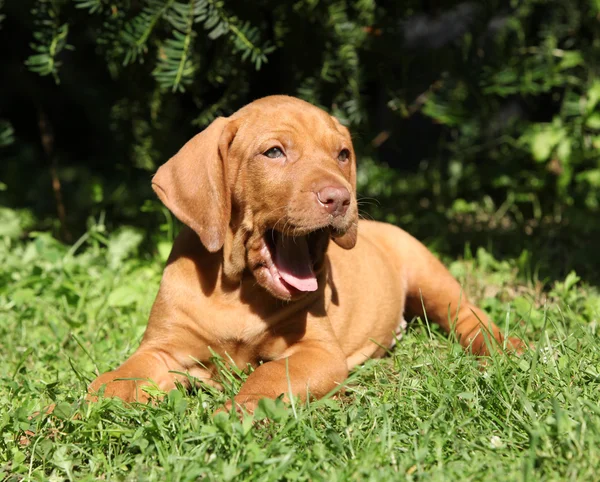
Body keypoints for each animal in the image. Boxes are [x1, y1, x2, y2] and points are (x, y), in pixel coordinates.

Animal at [86, 96, 524, 412]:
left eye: (343, 154)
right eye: (274, 152)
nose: (341, 199)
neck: (237, 289)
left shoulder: (317, 352)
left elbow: (266, 378)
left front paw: (239, 411)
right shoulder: (162, 348)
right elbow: (119, 377)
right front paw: (80, 409)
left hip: (428, 276)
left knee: (469, 314)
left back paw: (505, 347)